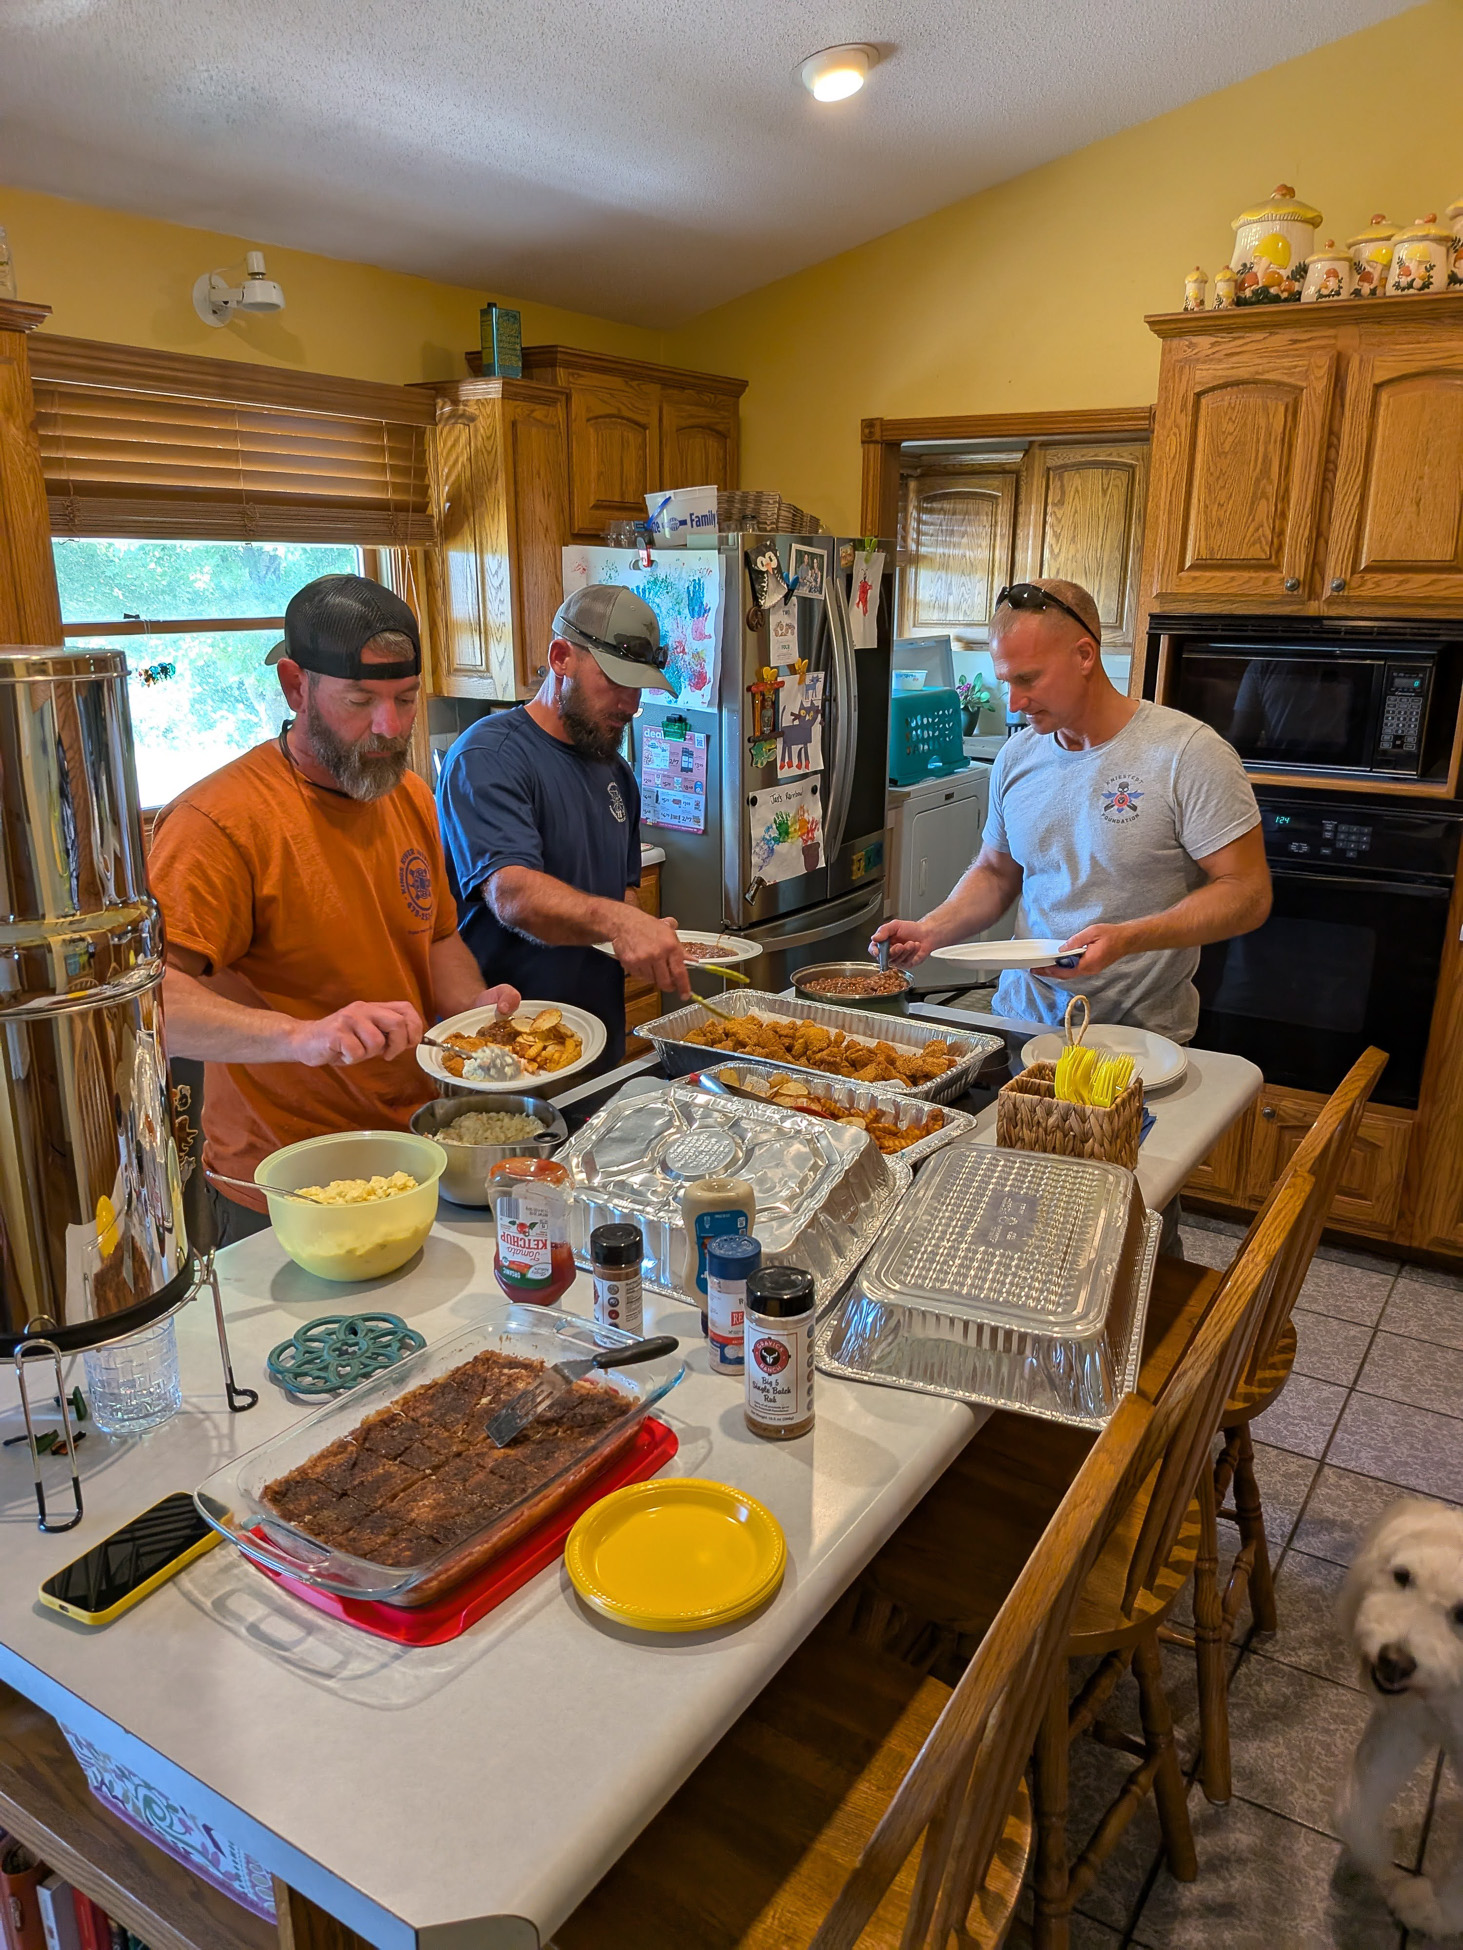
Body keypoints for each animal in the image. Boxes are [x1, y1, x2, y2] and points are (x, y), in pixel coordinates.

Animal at [1335, 1497, 1463, 1938]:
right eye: (1402, 1576)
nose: (1394, 1661)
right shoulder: (1406, 1725)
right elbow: (1356, 1811)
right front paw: (1377, 1857)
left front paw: (1435, 1912)